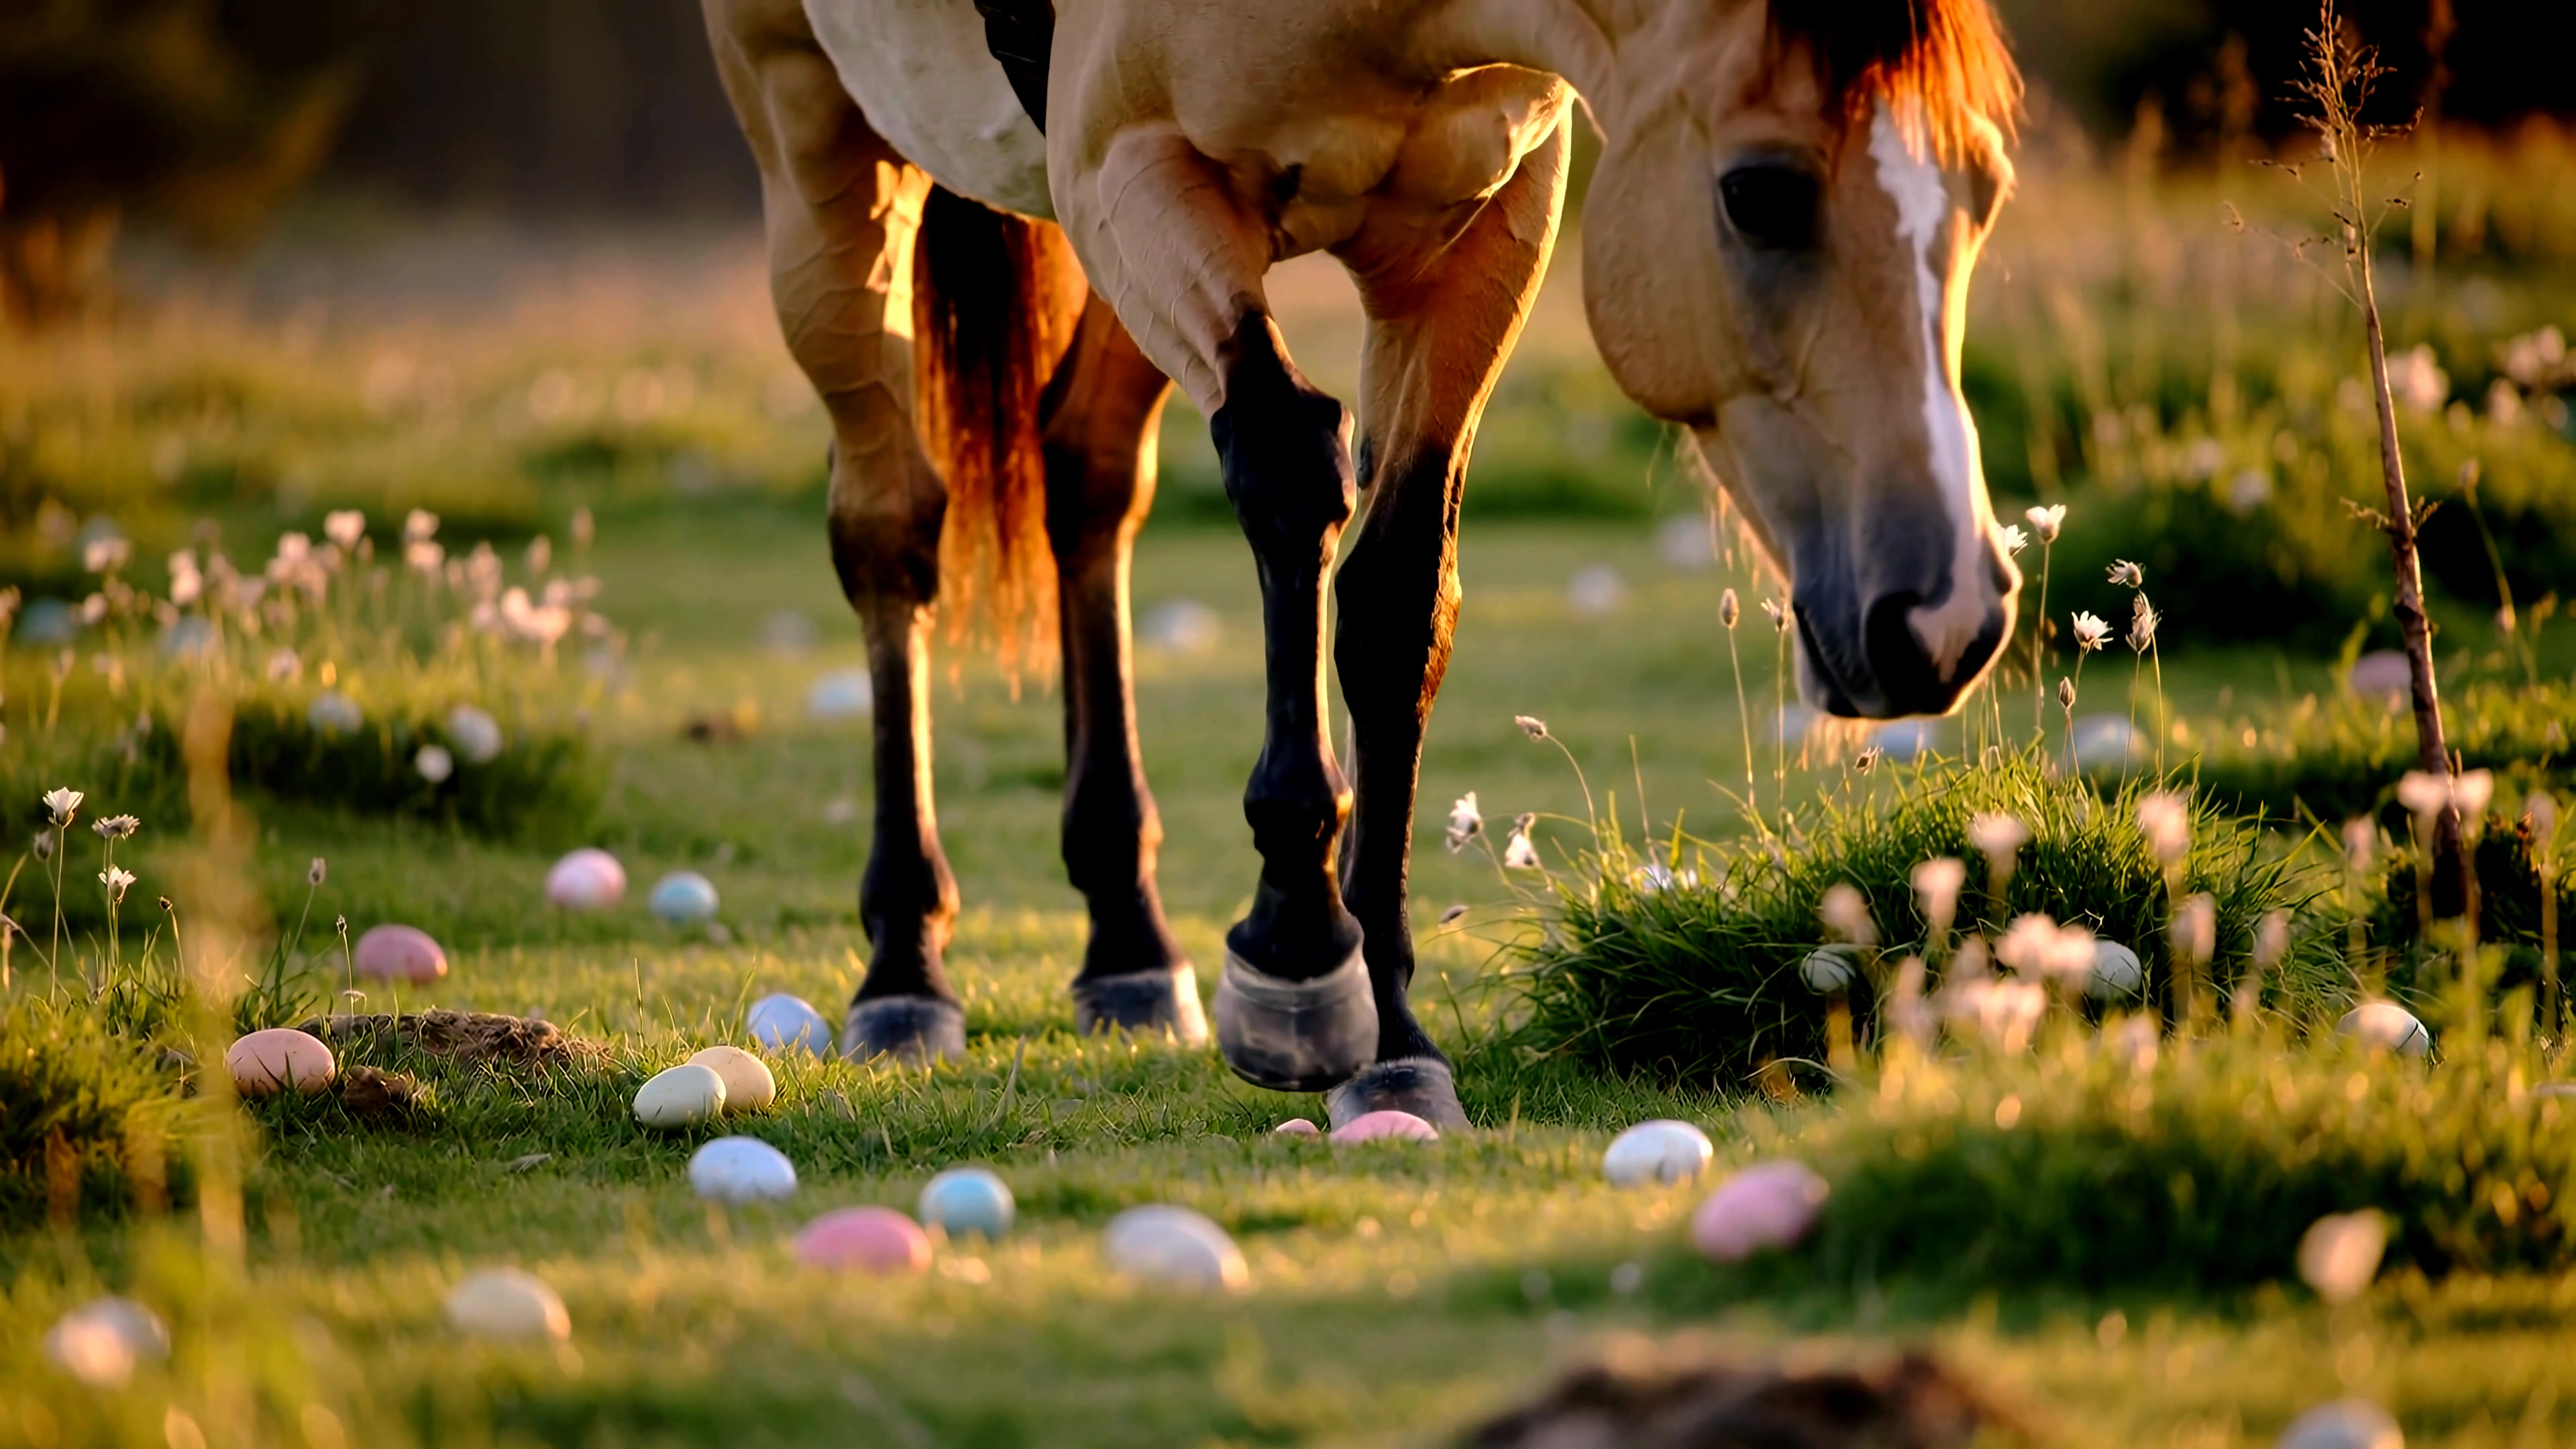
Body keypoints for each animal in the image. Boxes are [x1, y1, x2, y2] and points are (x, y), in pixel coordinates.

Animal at [701, 0, 2024, 1129]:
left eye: (1988, 194)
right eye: (1757, 195)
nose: (1945, 617)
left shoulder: (1485, 230)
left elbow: (1396, 601)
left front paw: (1390, 1037)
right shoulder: (1139, 171)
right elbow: (1291, 471)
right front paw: (1294, 945)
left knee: (1088, 480)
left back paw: (1128, 944)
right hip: (812, 139)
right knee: (891, 531)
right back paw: (903, 964)